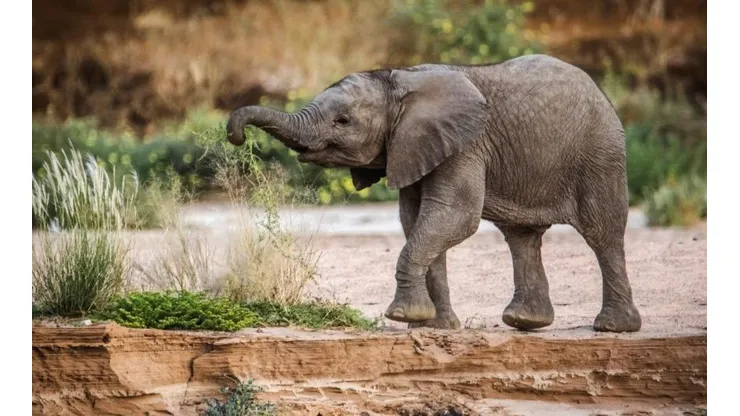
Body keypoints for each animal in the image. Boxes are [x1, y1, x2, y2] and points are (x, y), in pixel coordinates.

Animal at [226, 54, 642, 333]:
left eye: (342, 121)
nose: (235, 136)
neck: (399, 79)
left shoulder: (465, 144)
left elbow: (454, 215)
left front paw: (404, 317)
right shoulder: (413, 145)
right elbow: (416, 221)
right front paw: (433, 327)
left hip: (600, 153)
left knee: (602, 232)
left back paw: (612, 328)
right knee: (520, 236)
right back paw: (524, 321)